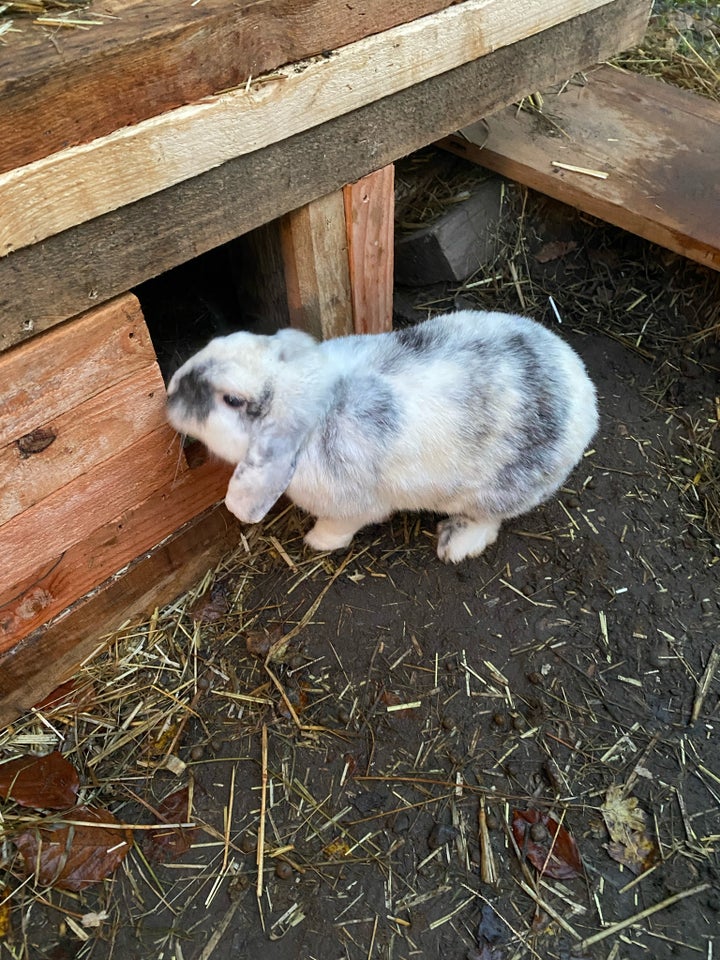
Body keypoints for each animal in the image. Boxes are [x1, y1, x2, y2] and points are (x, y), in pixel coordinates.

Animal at [166, 308, 600, 564]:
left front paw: (315, 542)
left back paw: (454, 544)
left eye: (232, 400)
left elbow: (337, 528)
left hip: (498, 491)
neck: (318, 404)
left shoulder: (349, 509)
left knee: (489, 520)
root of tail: (585, 395)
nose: (168, 394)